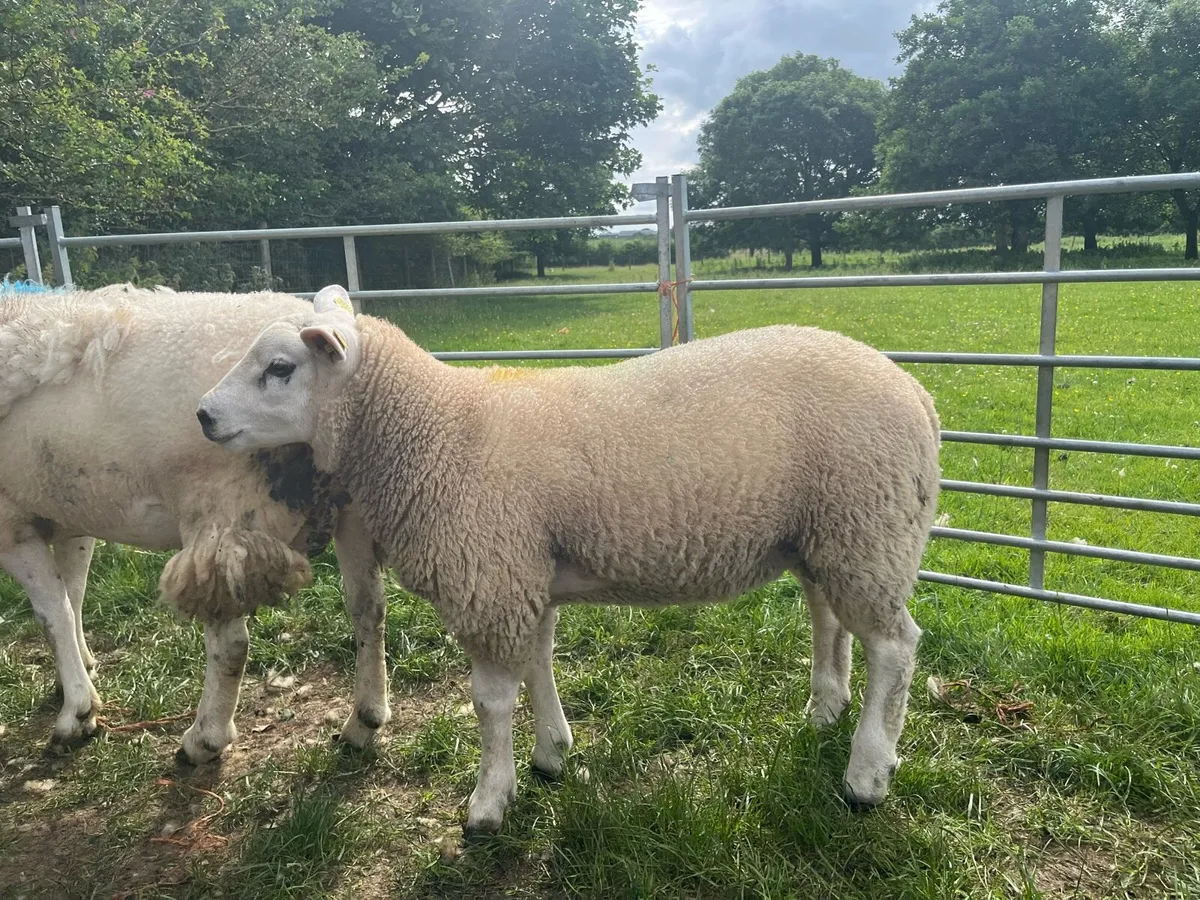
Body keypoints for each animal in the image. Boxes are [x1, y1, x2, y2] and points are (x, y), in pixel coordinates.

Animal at [0, 284, 390, 761]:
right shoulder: (68, 516)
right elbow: (72, 598)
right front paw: (80, 676)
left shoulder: (11, 525)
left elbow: (51, 613)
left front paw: (76, 713)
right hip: (352, 510)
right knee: (368, 608)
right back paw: (364, 720)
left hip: (221, 511)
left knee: (232, 644)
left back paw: (203, 738)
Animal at [198, 284, 941, 834]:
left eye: (281, 369)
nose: (203, 415)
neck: (435, 431)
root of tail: (918, 396)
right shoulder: (524, 574)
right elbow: (538, 664)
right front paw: (552, 754)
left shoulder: (489, 576)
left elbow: (492, 700)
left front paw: (488, 803)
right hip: (828, 533)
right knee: (829, 617)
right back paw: (825, 708)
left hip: (867, 523)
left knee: (896, 646)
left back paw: (867, 773)